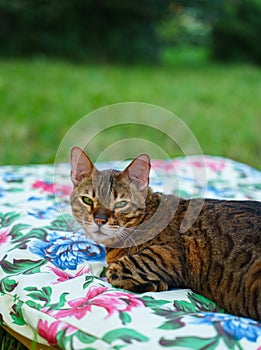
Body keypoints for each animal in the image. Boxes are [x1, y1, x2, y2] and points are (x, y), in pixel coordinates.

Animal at [69, 146, 260, 322]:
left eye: (121, 203)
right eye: (87, 200)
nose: (100, 220)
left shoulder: (167, 254)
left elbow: (116, 270)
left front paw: (154, 284)